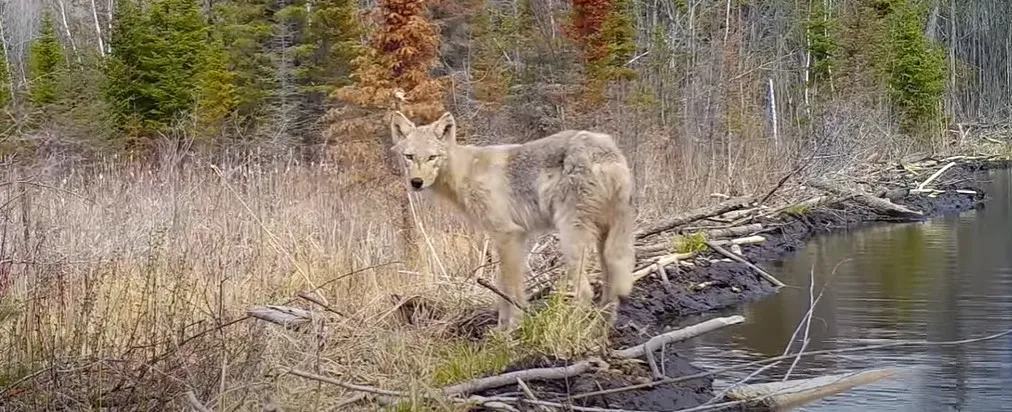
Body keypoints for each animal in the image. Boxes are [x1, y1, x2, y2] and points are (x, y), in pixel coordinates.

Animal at [388, 111, 635, 330]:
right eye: (409, 157)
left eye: (432, 157)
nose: (416, 182)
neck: (465, 173)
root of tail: (607, 151)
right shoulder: (508, 240)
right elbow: (502, 288)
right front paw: (501, 330)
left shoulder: (508, 235)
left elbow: (512, 290)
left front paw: (513, 329)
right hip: (604, 240)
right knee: (610, 291)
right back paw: (601, 329)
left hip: (571, 239)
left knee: (585, 292)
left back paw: (571, 329)